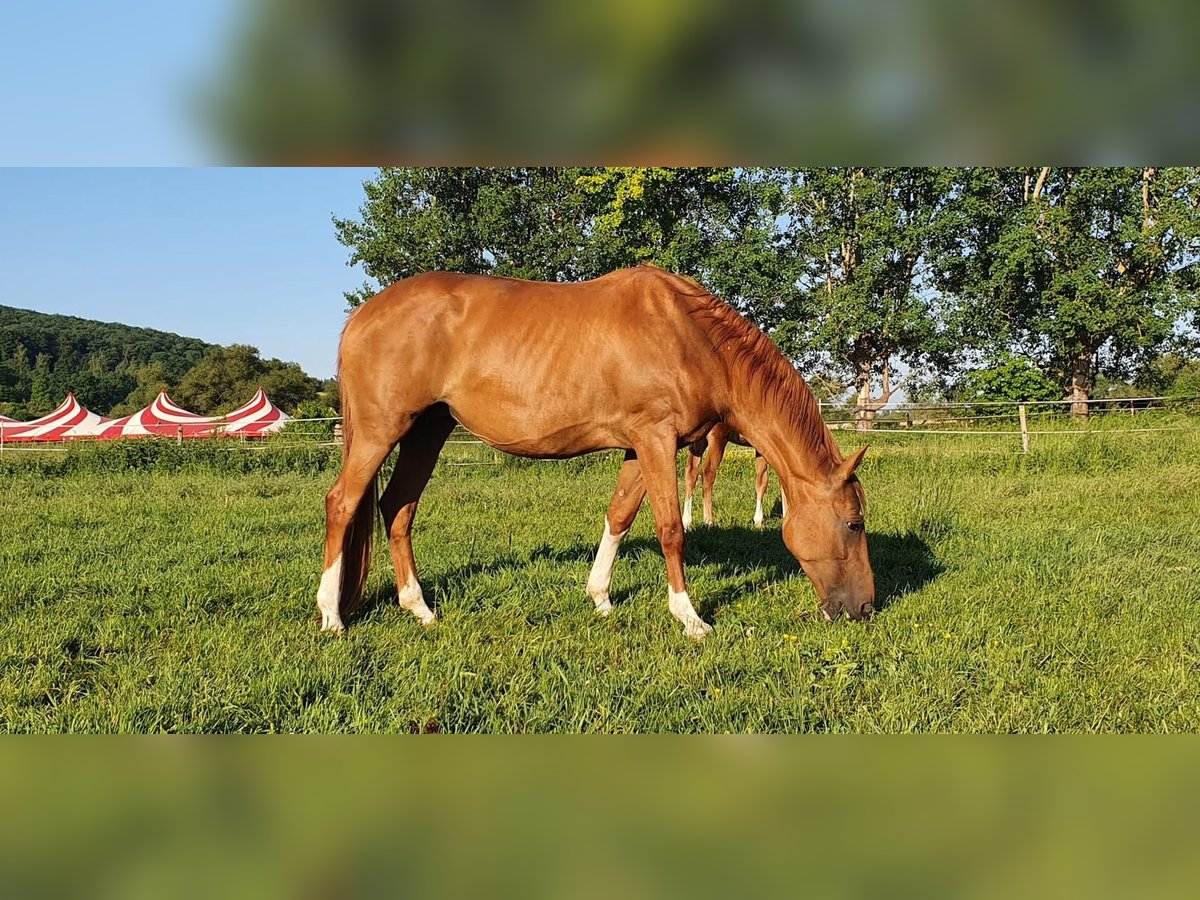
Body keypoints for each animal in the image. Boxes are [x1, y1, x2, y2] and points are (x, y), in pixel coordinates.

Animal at [316, 264, 873, 638]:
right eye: (853, 523)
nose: (866, 609)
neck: (688, 332)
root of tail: (363, 315)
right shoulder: (656, 439)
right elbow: (670, 530)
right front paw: (690, 618)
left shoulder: (639, 447)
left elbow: (620, 516)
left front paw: (601, 597)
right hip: (380, 430)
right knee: (343, 504)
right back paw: (331, 615)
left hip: (428, 431)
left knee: (397, 507)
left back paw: (420, 609)